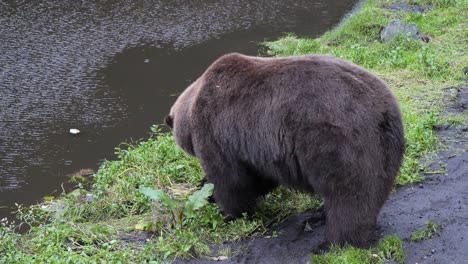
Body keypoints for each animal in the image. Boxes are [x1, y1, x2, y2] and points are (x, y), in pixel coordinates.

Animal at [165, 52, 406, 246]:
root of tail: (383, 111)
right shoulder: (254, 150)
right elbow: (256, 178)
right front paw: (205, 190)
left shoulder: (216, 131)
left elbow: (230, 181)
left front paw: (227, 211)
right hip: (385, 147)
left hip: (336, 142)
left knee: (348, 196)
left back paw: (334, 242)